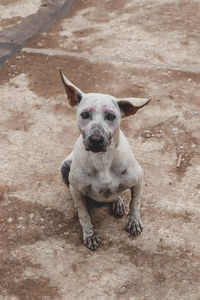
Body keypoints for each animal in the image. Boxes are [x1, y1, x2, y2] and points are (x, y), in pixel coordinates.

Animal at [59, 71, 150, 251]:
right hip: (64, 167)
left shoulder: (138, 180)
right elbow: (84, 215)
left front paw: (134, 221)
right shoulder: (76, 187)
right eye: (85, 115)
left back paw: (118, 202)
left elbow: (135, 203)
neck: (102, 160)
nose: (96, 140)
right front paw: (89, 235)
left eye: (110, 116)